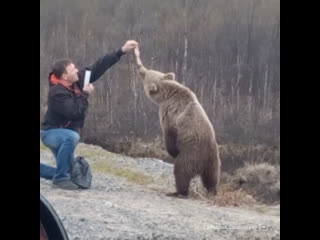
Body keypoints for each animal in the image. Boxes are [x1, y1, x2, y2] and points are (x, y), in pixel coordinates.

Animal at [134, 46, 221, 198]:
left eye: (144, 74)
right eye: (148, 70)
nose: (139, 66)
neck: (168, 94)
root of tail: (204, 161)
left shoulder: (170, 113)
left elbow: (169, 133)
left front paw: (172, 151)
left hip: (192, 153)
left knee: (181, 171)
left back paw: (177, 191)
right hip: (213, 160)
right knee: (212, 178)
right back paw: (212, 191)